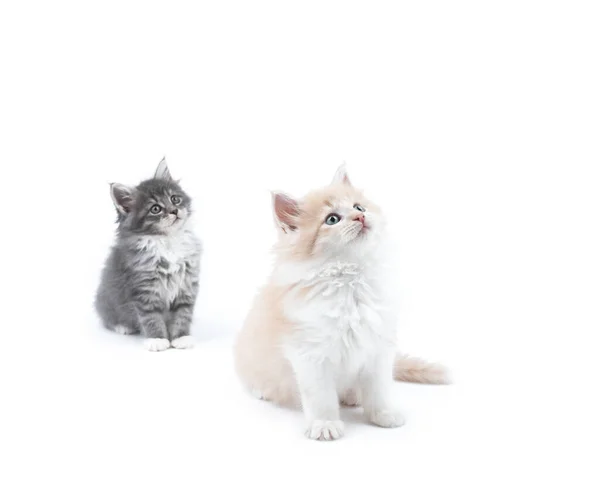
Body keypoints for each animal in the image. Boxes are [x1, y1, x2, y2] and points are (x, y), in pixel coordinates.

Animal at [95, 158, 203, 350]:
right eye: (155, 209)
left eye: (175, 199)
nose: (174, 211)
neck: (167, 241)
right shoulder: (144, 289)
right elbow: (151, 318)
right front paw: (158, 339)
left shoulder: (186, 285)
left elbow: (182, 315)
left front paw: (181, 338)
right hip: (107, 300)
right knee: (108, 318)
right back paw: (122, 326)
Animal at [236, 166, 450, 442]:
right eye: (332, 219)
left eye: (359, 207)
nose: (360, 217)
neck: (351, 282)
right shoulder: (310, 355)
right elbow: (321, 398)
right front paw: (325, 424)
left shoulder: (379, 348)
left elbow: (379, 390)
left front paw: (383, 414)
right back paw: (262, 390)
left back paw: (352, 396)